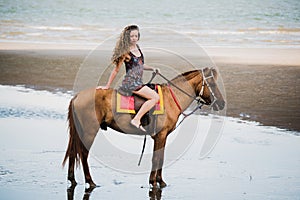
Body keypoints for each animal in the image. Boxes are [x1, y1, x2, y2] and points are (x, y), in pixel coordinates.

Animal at [62, 68, 225, 188]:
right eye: (212, 84)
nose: (222, 103)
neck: (171, 99)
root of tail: (77, 96)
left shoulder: (163, 136)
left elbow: (160, 158)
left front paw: (160, 181)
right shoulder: (160, 135)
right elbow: (156, 158)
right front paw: (153, 181)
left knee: (73, 152)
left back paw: (72, 179)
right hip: (89, 131)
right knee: (83, 154)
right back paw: (90, 181)